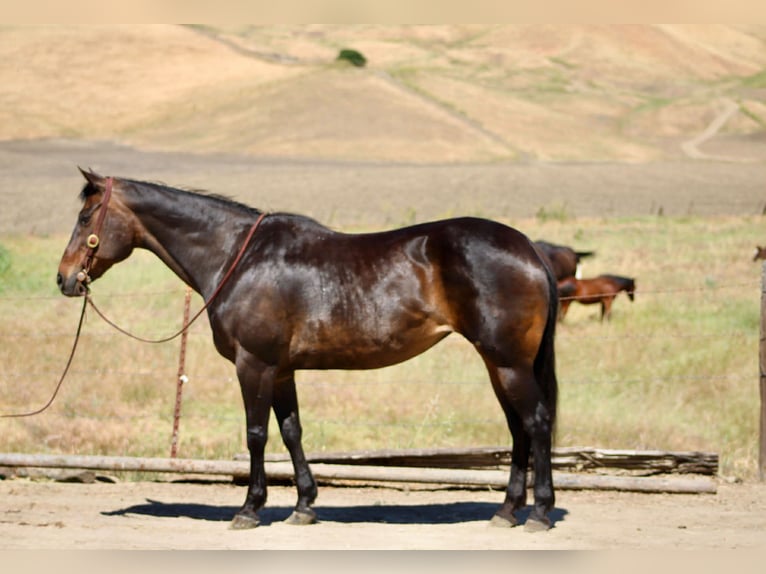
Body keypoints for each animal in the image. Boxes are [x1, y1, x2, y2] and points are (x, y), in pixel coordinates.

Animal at [57, 169, 559, 531]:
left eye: (85, 219)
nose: (64, 279)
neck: (239, 257)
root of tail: (530, 248)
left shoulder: (254, 365)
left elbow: (256, 434)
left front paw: (249, 509)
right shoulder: (281, 371)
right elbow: (292, 432)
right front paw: (304, 505)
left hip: (509, 363)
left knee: (535, 424)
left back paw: (537, 513)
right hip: (499, 365)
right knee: (518, 429)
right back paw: (506, 511)